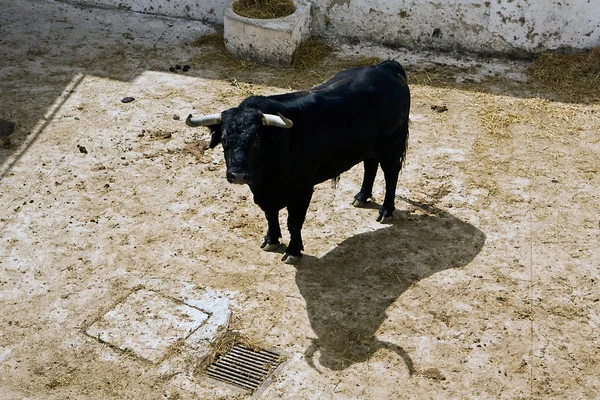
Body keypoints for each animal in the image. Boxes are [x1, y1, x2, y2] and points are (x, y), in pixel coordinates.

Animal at [188, 59, 410, 262]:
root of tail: (385, 66)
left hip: (392, 145)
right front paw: (271, 239)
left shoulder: (302, 190)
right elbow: (270, 214)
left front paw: (293, 251)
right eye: (225, 140)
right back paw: (361, 197)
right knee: (370, 166)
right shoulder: (264, 192)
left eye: (257, 140)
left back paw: (386, 211)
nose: (238, 175)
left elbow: (294, 222)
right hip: (370, 147)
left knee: (391, 175)